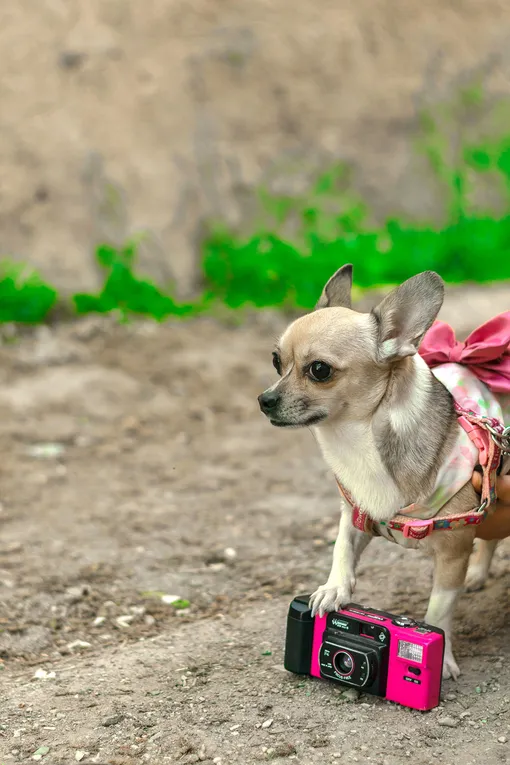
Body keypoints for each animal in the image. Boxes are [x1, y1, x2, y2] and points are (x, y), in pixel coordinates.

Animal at [258, 266, 510, 676]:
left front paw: (438, 659)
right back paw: (478, 574)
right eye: (277, 361)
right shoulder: (356, 513)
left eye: (319, 370)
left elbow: (439, 608)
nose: (264, 400)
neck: (357, 441)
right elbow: (342, 548)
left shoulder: (453, 551)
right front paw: (334, 588)